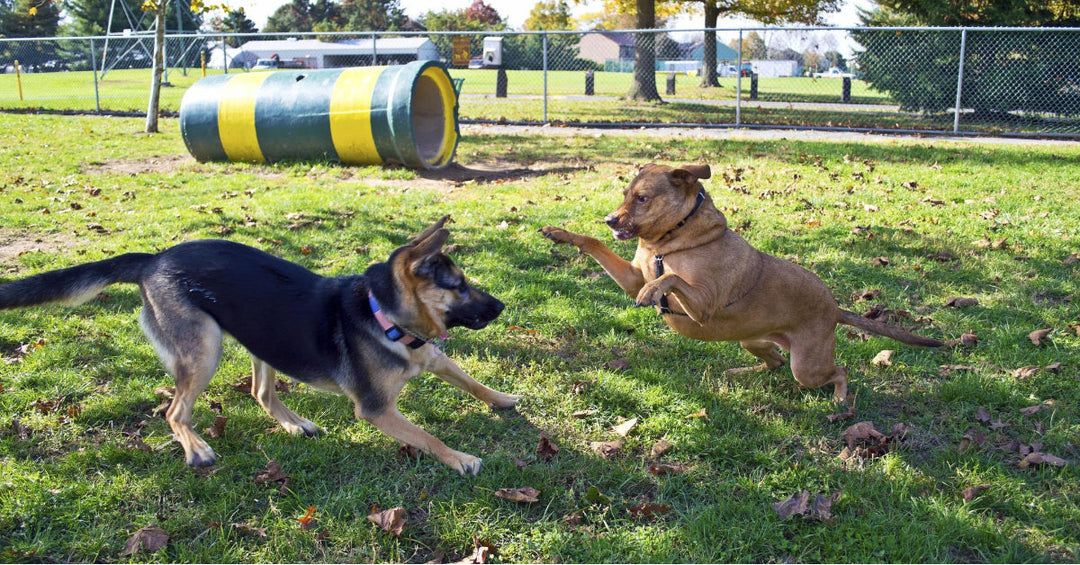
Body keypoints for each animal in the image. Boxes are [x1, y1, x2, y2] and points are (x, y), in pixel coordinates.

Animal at [0, 217, 522, 473]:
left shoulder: (433, 356)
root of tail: (153, 259)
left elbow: (471, 380)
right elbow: (429, 437)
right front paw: (461, 459)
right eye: (458, 286)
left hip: (262, 339)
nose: (500, 307)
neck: (384, 315)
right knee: (174, 411)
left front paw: (502, 399)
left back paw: (295, 425)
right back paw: (196, 449)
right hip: (205, 350)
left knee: (260, 392)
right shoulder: (376, 410)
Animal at [544, 163, 941, 401]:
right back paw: (742, 371)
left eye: (642, 198)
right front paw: (562, 233)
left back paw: (841, 401)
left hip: (807, 367)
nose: (609, 220)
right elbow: (594, 244)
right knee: (775, 362)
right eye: (625, 195)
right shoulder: (630, 275)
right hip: (753, 341)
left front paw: (655, 289)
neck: (673, 240)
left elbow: (671, 277)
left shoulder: (702, 304)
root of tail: (834, 308)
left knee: (838, 371)